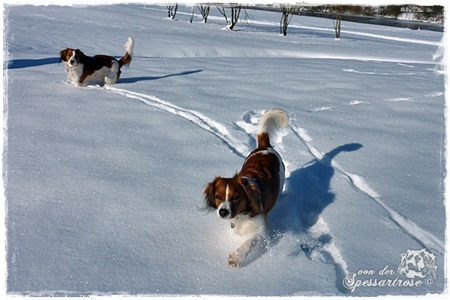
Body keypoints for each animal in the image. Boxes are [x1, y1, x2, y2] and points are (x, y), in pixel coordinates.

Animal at [204, 108, 288, 268]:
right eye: (218, 196)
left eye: (236, 196)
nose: (223, 212)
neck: (242, 214)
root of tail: (265, 147)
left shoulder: (260, 229)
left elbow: (250, 241)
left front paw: (236, 257)